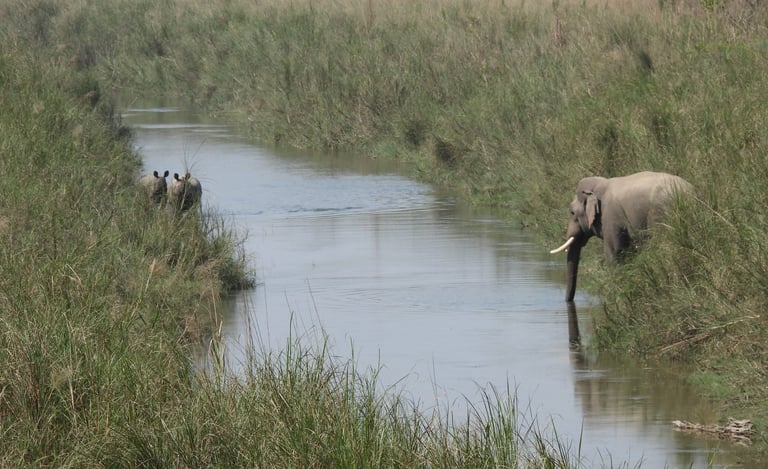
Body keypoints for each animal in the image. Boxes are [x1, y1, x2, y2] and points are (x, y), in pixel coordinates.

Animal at [550, 171, 693, 302]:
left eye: (572, 212)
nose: (568, 301)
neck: (600, 185)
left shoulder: (610, 218)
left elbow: (615, 254)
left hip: (661, 215)